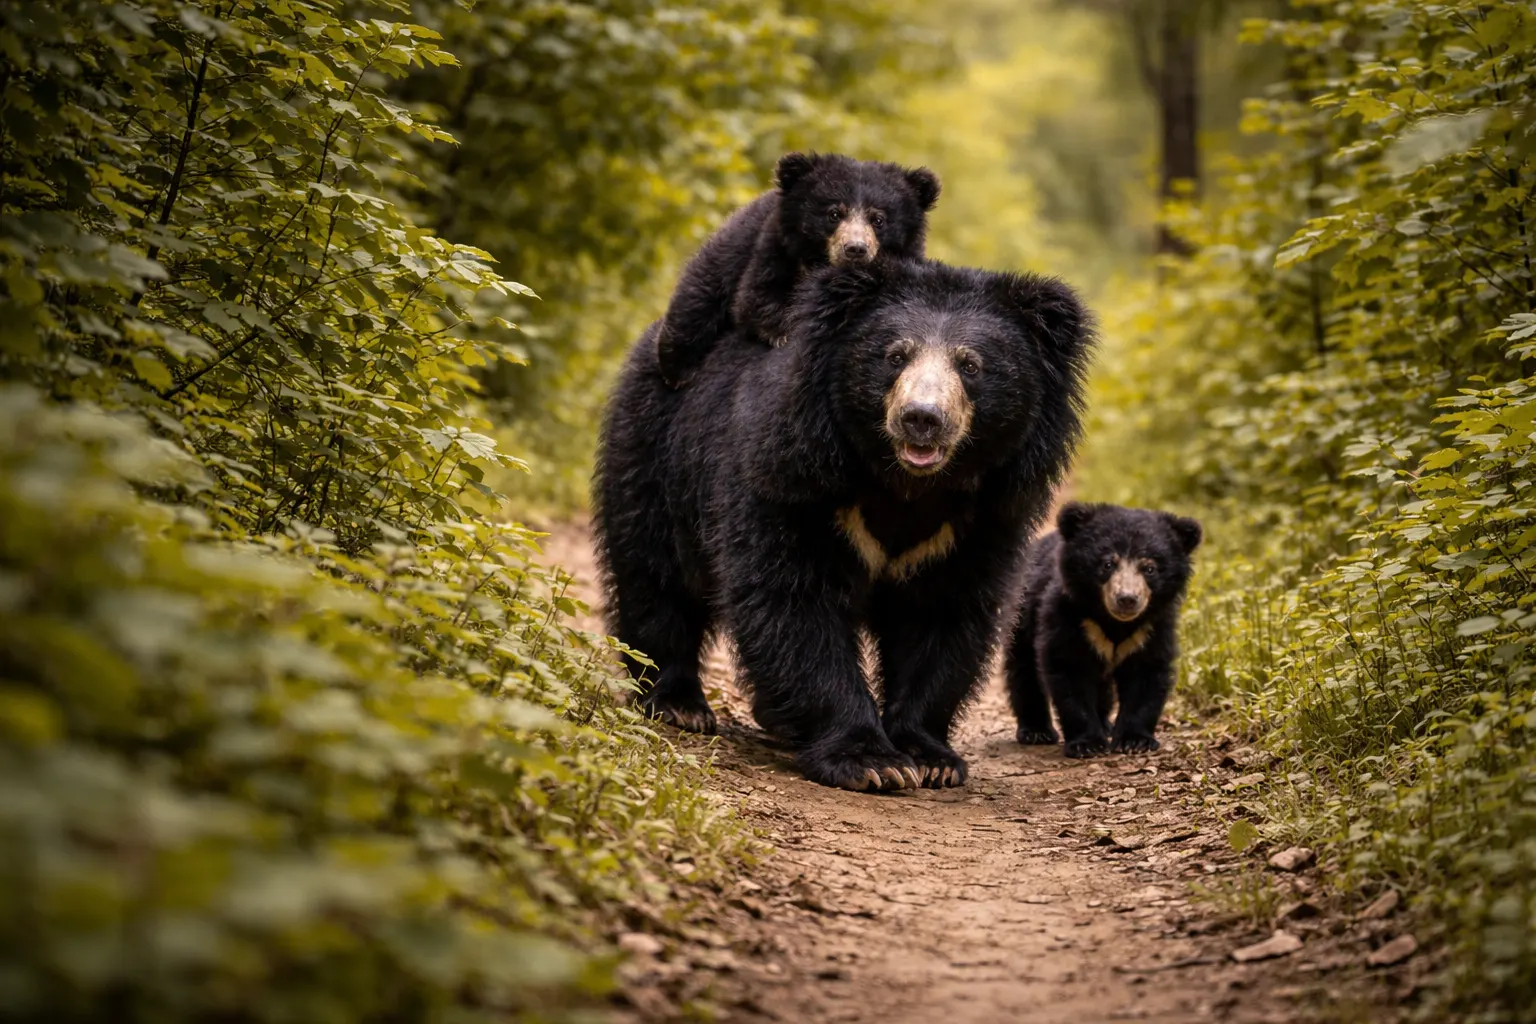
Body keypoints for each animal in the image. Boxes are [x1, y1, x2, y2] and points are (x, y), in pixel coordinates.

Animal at [594, 257, 1093, 791]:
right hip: (655, 455)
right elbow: (795, 602)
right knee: (657, 579)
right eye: (895, 356)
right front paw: (872, 761)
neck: (908, 485)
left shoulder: (979, 519)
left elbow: (944, 616)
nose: (922, 419)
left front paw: (931, 758)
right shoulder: (793, 478)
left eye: (971, 365)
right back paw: (679, 703)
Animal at [653, 151, 941, 389]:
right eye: (834, 214)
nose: (855, 249)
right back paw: (677, 370)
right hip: (727, 253)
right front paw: (786, 333)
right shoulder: (776, 248)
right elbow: (757, 296)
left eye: (878, 219)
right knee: (698, 298)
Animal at [1005, 502, 1203, 758]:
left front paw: (1135, 741)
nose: (1127, 599)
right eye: (1108, 564)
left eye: (1149, 568)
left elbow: (1146, 673)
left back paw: (1105, 724)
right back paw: (1037, 731)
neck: (1114, 622)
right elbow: (1070, 669)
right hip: (1023, 612)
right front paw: (1087, 744)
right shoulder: (1069, 616)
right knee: (1023, 667)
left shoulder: (1151, 627)